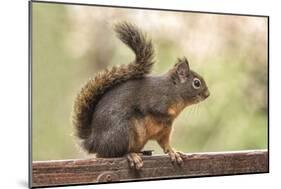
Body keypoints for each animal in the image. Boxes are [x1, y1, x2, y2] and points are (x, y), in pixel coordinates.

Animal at [72, 22, 208, 170]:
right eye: (196, 83)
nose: (207, 94)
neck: (174, 91)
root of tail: (94, 142)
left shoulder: (166, 130)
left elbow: (165, 145)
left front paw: (173, 152)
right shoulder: (157, 100)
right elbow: (153, 110)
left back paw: (141, 152)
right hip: (122, 131)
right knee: (113, 154)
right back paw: (131, 155)